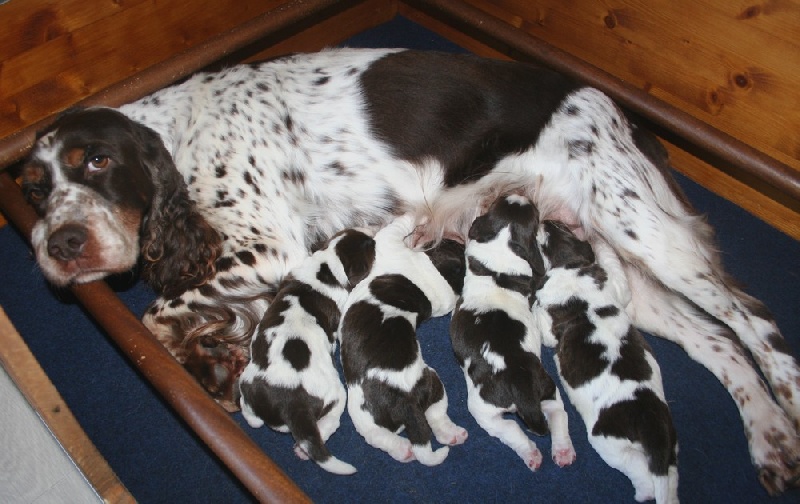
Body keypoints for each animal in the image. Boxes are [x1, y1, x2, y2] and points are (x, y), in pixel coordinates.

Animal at [239, 230, 376, 474]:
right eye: (369, 245)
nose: (374, 238)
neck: (326, 266)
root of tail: (293, 405)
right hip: (337, 393)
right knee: (328, 422)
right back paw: (305, 448)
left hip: (248, 378)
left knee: (248, 408)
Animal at [340, 215, 468, 466]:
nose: (459, 239)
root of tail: (406, 403)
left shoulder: (389, 241)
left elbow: (399, 225)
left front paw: (419, 219)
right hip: (432, 383)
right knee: (436, 416)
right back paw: (449, 435)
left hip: (361, 413)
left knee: (380, 437)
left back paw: (405, 449)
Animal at [450, 195, 576, 470]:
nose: (521, 195)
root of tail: (519, 380)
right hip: (546, 386)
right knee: (557, 413)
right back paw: (561, 451)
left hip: (483, 408)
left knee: (510, 428)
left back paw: (531, 452)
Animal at [536, 221, 680, 504]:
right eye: (561, 228)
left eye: (544, 239)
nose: (546, 221)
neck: (569, 266)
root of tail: (652, 428)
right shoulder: (618, 288)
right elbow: (616, 272)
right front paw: (602, 244)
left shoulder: (550, 325)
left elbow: (542, 320)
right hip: (671, 447)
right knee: (670, 480)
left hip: (611, 445)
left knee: (642, 476)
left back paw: (642, 493)